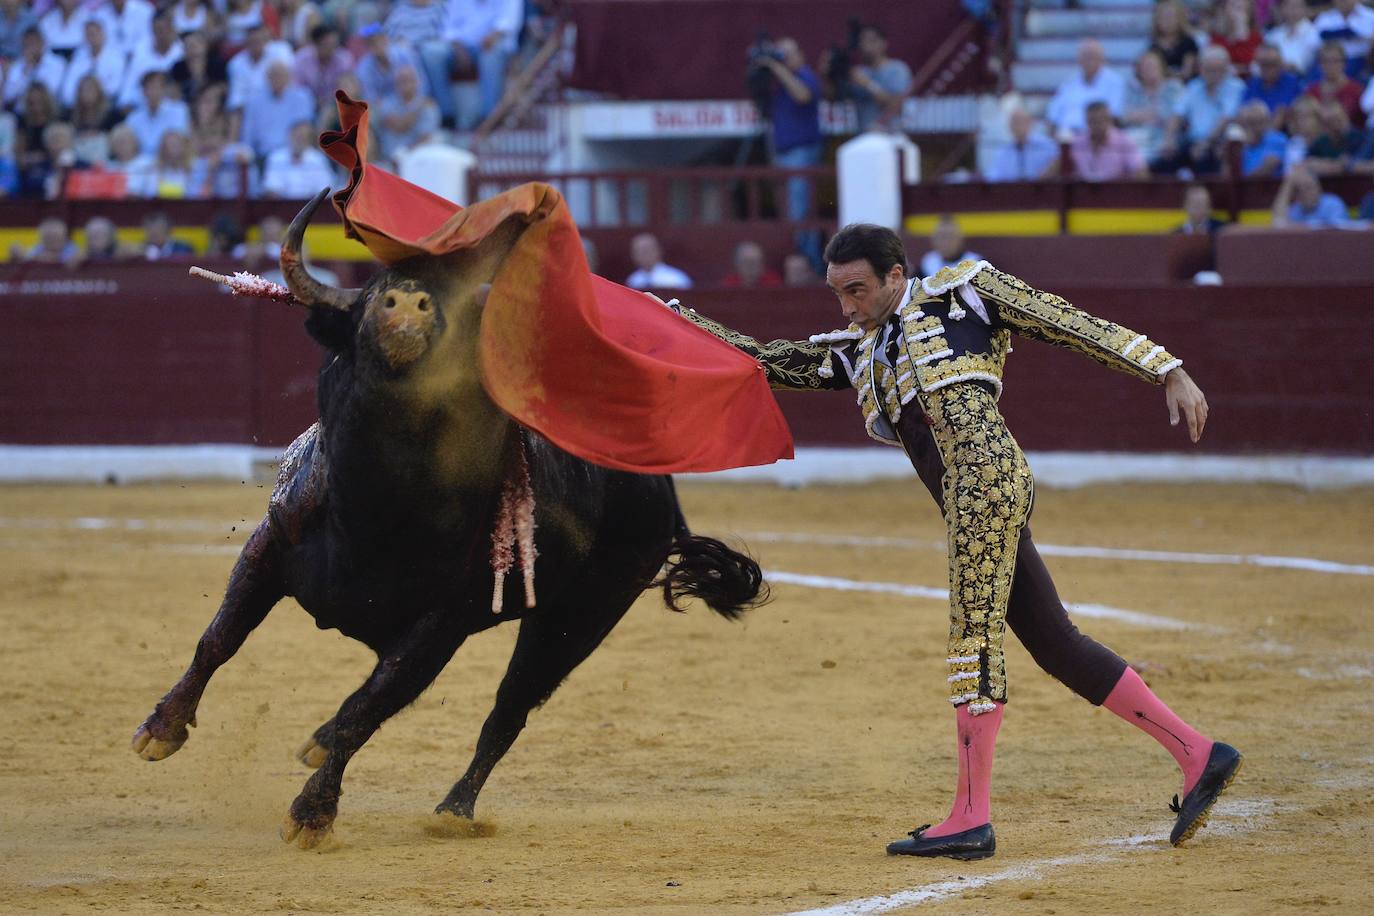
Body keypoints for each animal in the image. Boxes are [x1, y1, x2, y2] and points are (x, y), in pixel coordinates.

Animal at [132, 189, 769, 851]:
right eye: (370, 296)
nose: (409, 305)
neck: (376, 510)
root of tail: (662, 491)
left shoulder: (441, 626)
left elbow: (369, 707)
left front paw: (312, 815)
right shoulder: (271, 547)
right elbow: (219, 639)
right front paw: (161, 729)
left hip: (578, 619)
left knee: (507, 710)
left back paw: (454, 809)